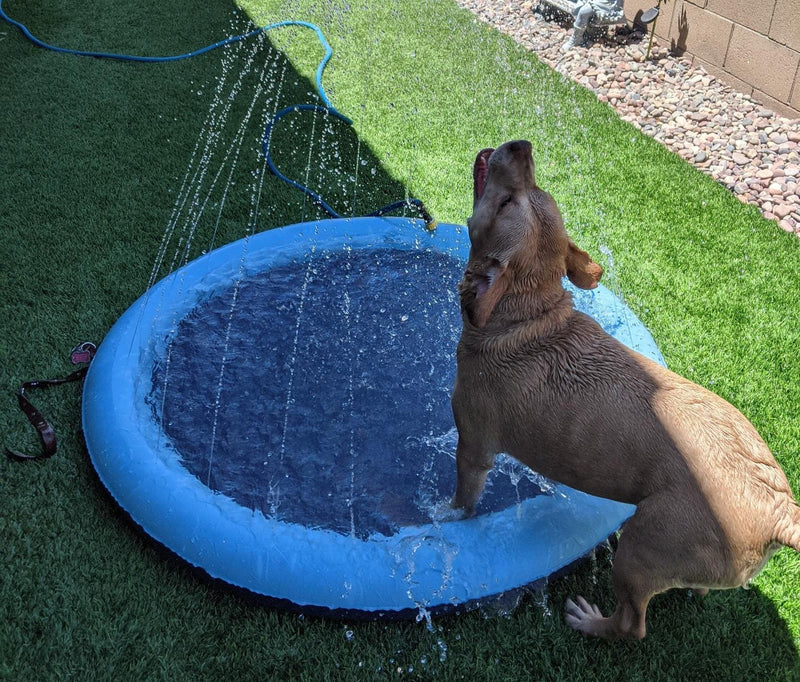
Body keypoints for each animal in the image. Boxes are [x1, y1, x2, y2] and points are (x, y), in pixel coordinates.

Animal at [450, 138, 800, 636]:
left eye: (505, 204)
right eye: (536, 188)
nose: (522, 146)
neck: (527, 313)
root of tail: (779, 510)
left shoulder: (473, 444)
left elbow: (463, 499)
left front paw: (446, 517)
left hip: (642, 547)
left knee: (633, 625)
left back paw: (591, 623)